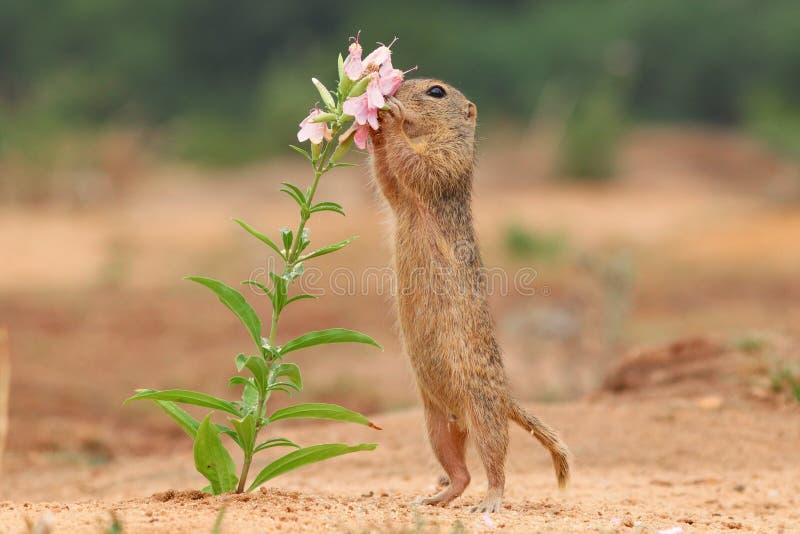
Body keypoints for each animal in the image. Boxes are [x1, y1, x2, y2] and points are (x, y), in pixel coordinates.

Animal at [368, 79, 568, 516]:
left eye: (436, 91)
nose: (392, 90)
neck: (432, 136)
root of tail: (506, 398)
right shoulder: (399, 195)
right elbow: (388, 177)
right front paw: (374, 129)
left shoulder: (447, 165)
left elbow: (415, 166)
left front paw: (390, 120)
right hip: (436, 424)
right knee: (461, 474)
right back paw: (434, 496)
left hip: (483, 412)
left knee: (495, 467)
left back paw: (490, 503)